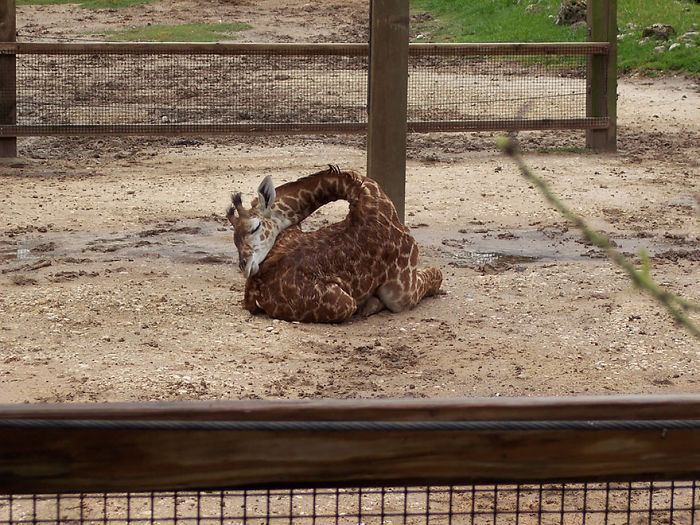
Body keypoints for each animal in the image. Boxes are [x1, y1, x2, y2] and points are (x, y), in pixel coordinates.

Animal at [226, 165, 442, 323]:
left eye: (255, 227)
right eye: (234, 240)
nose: (245, 266)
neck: (368, 194)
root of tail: (253, 289)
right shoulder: (403, 292)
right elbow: (437, 273)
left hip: (293, 230)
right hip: (345, 304)